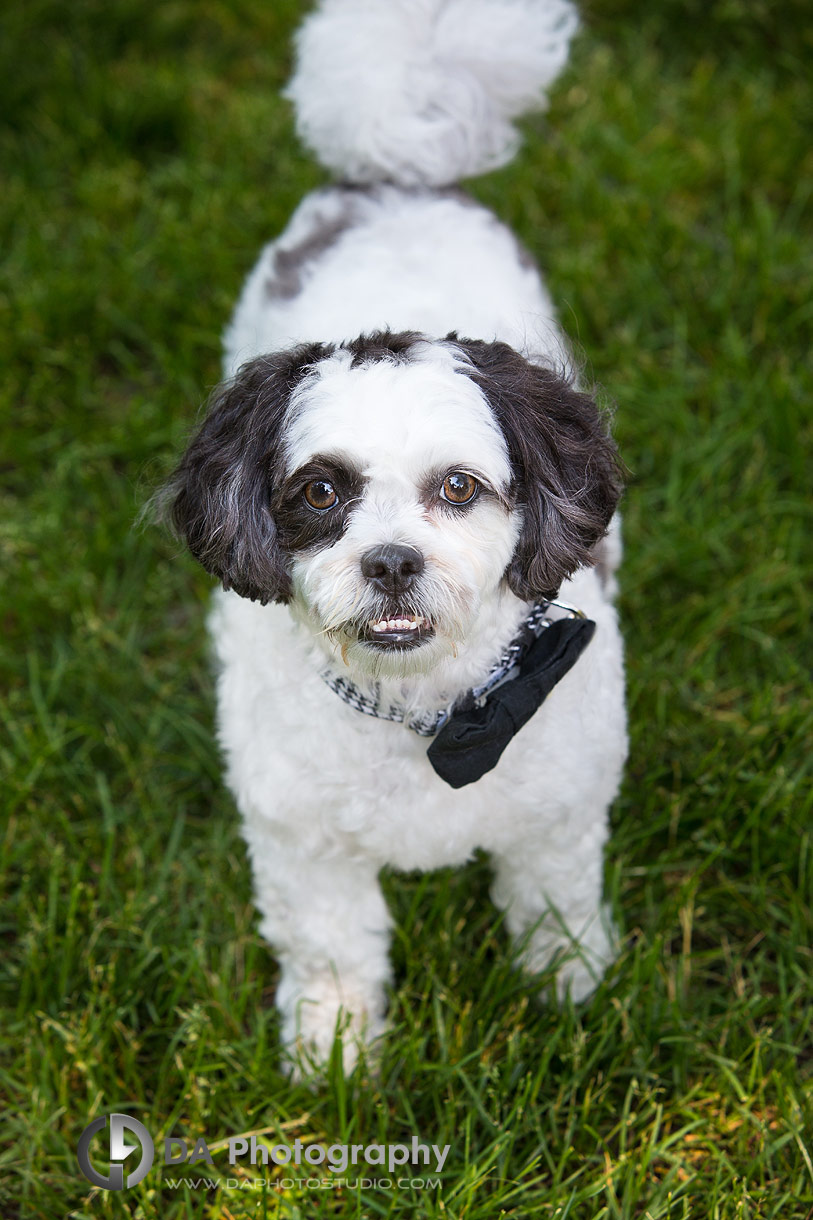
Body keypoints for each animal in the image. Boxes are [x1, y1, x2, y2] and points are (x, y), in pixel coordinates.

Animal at [161, 0, 622, 1068]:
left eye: (458, 487)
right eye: (320, 492)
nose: (391, 562)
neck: (427, 713)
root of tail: (395, 177)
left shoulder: (559, 811)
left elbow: (556, 899)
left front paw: (568, 988)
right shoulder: (303, 842)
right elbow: (331, 947)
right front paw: (332, 1055)